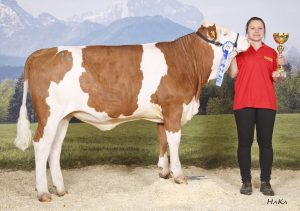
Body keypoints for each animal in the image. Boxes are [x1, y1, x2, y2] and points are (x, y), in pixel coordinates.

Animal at [14, 22, 248, 202]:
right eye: (225, 33)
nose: (245, 38)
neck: (188, 65)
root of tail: (43, 51)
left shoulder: (162, 114)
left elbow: (162, 141)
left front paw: (164, 172)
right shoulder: (173, 108)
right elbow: (174, 142)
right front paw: (179, 176)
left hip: (63, 117)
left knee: (54, 149)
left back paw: (61, 190)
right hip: (49, 115)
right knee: (41, 145)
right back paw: (43, 193)